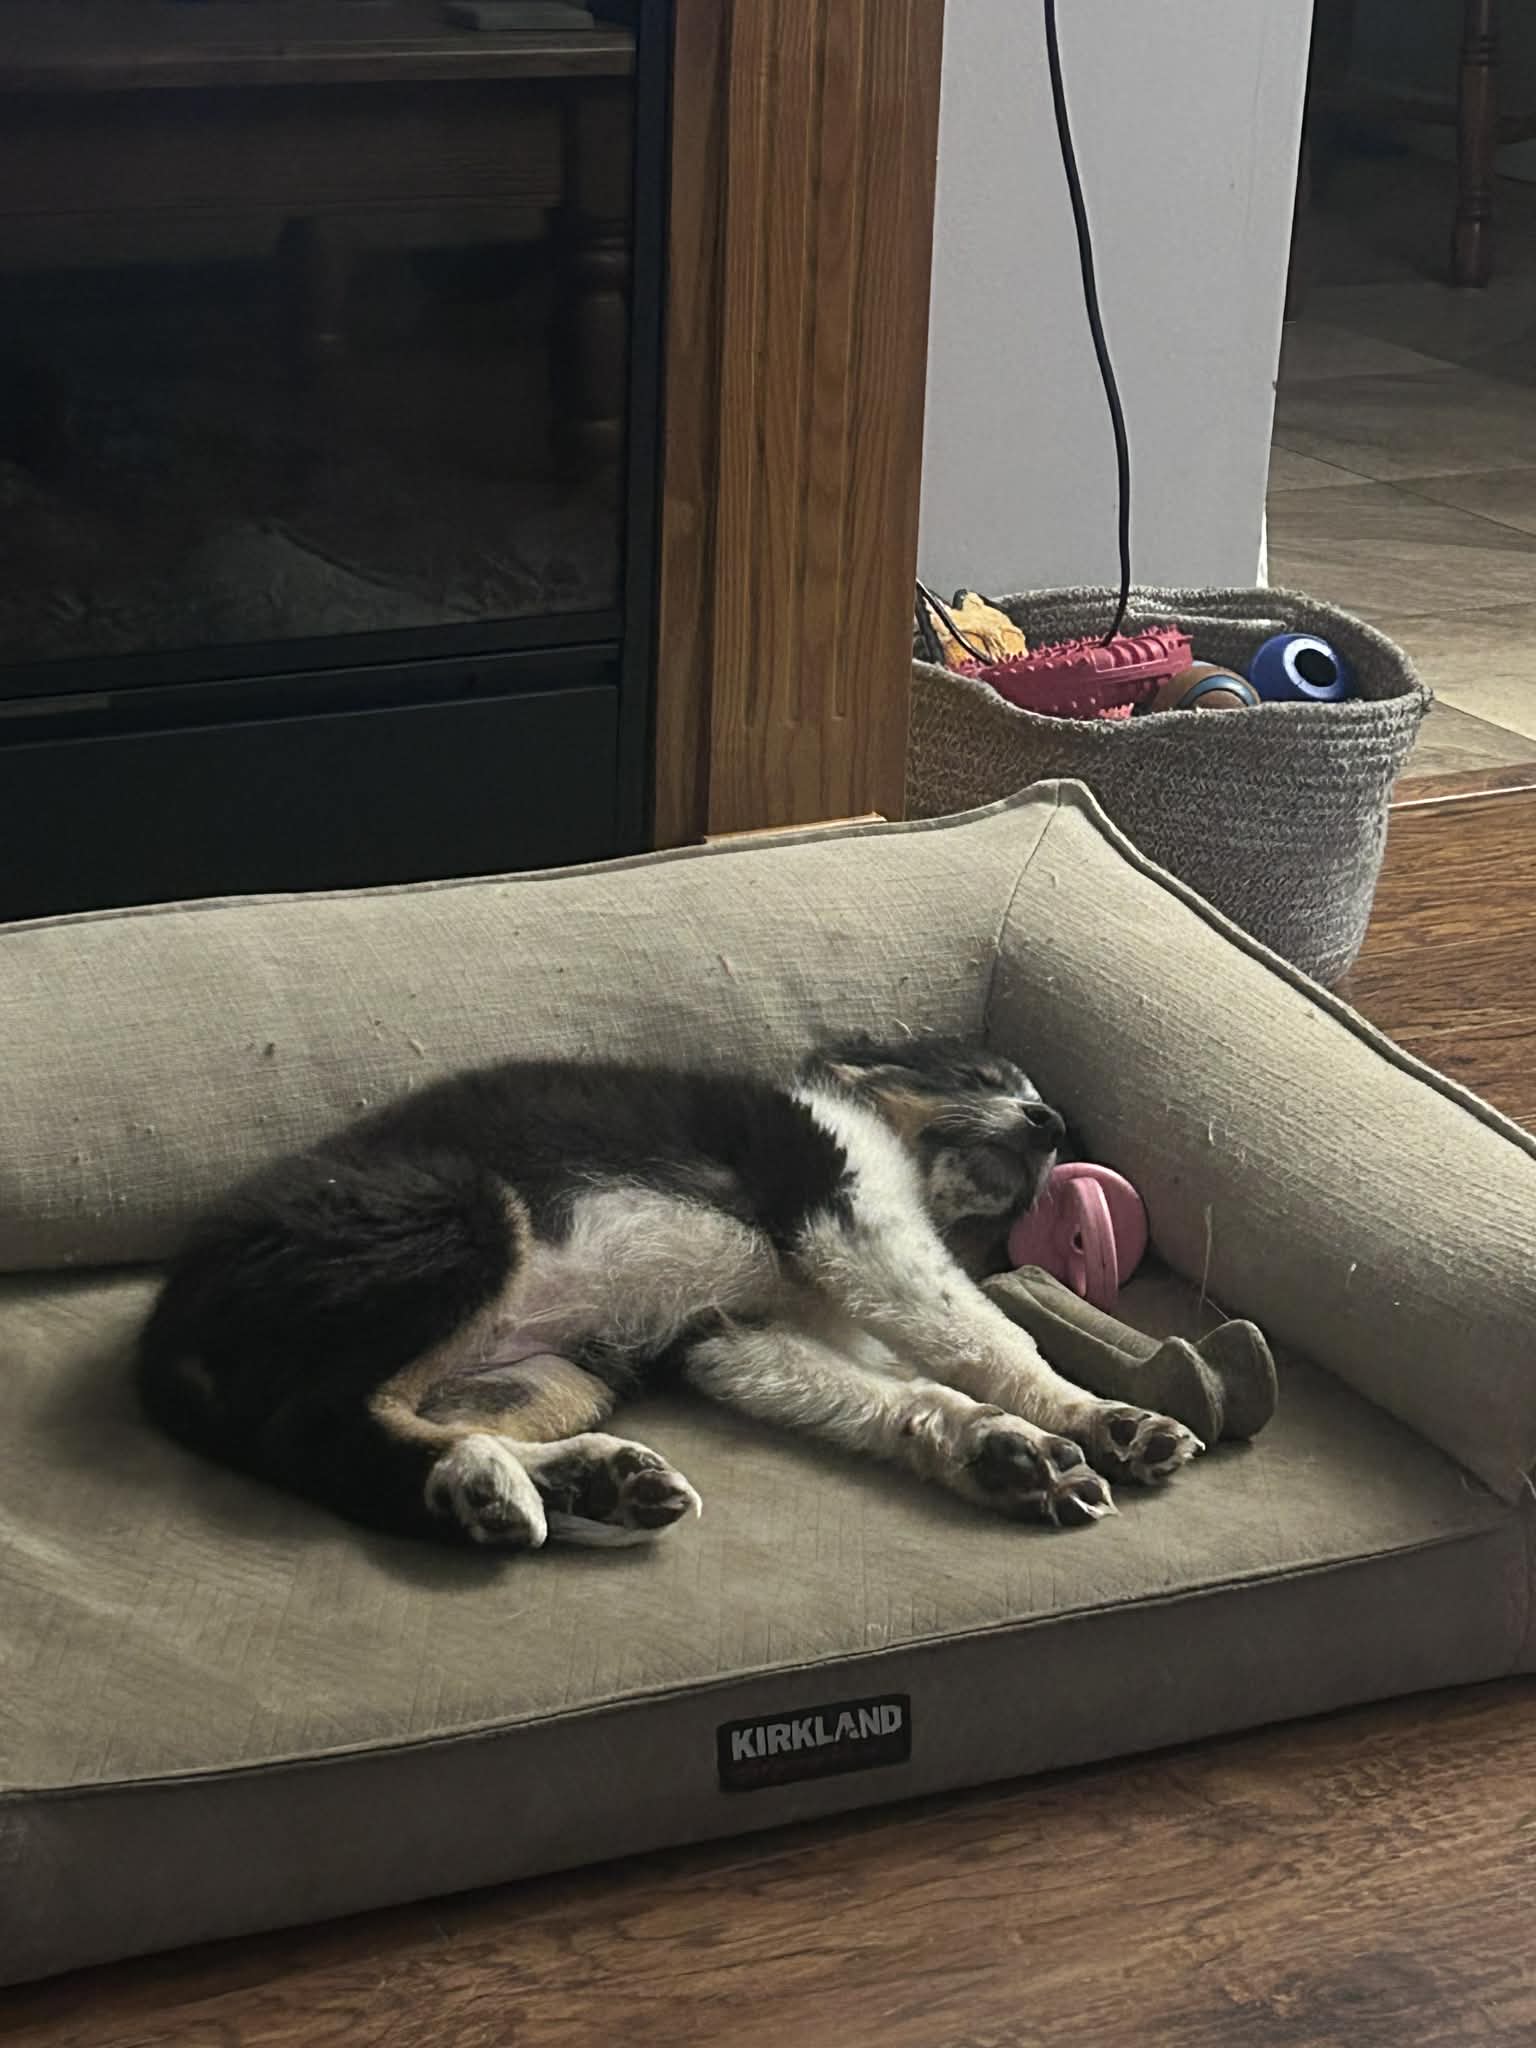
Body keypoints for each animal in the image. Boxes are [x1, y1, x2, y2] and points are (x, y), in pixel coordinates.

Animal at [136, 1036, 1202, 1549]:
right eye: (978, 1074)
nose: (1049, 1123)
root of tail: (162, 1336)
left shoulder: (735, 1339)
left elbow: (897, 1396)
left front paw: (1002, 1456)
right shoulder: (850, 1219)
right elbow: (989, 1343)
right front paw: (1103, 1419)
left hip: (558, 1371)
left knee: (376, 1437)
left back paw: (568, 1482)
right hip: (463, 1222)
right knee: (315, 1431)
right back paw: (491, 1486)